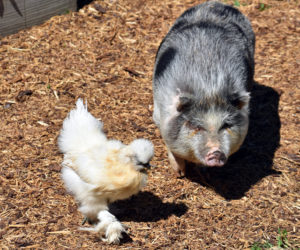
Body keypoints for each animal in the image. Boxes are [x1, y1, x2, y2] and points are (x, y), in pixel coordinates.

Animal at [152, 0, 255, 176]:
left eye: (226, 125)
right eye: (196, 126)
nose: (216, 153)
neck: (209, 89)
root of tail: (214, 4)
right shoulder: (159, 114)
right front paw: (180, 173)